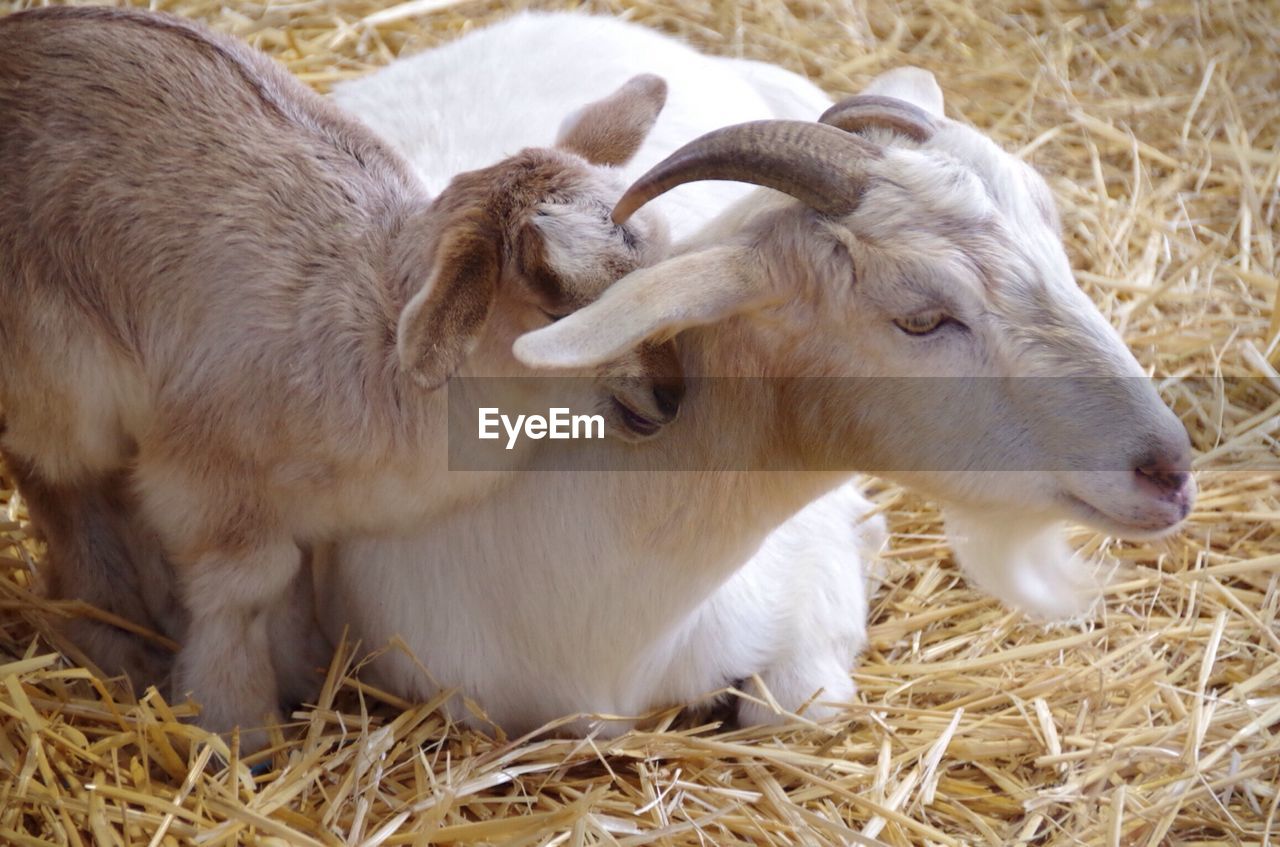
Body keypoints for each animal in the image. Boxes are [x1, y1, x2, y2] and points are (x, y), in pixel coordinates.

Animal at [0, 8, 675, 752]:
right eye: (556, 305)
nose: (672, 394)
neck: (377, 339)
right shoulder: (209, 483)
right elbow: (245, 593)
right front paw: (239, 728)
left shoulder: (301, 508)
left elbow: (294, 588)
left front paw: (304, 680)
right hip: (57, 378)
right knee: (55, 479)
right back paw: (112, 637)